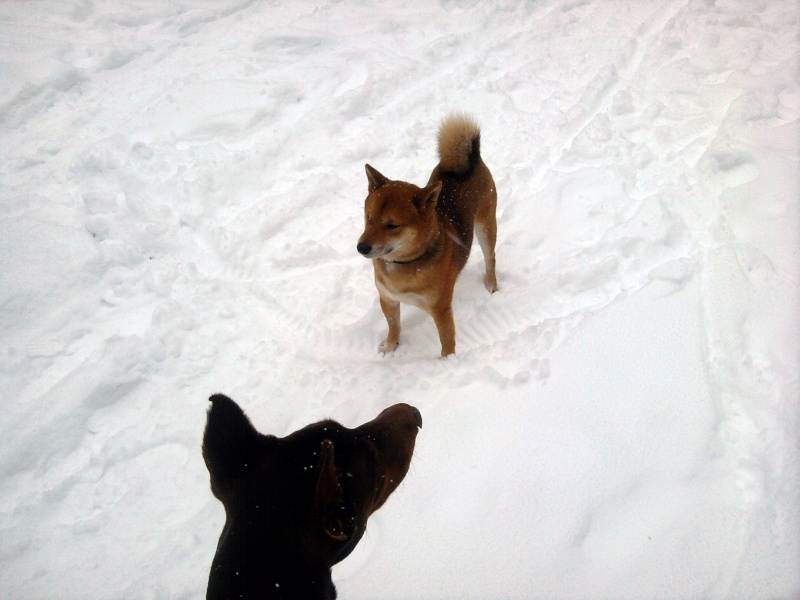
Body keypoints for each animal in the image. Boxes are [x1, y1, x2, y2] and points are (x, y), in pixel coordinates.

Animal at [358, 114, 496, 354]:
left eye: (392, 225)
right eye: (369, 217)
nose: (361, 247)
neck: (404, 263)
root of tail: (471, 159)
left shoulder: (440, 308)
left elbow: (447, 339)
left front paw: (448, 360)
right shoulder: (387, 298)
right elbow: (394, 325)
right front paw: (390, 347)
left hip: (486, 227)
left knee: (490, 259)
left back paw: (491, 285)